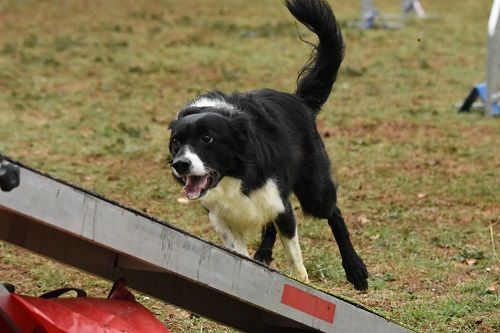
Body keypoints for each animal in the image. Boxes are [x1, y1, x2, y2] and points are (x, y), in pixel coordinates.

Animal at [168, 0, 368, 288]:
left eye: (207, 139)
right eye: (176, 143)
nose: (180, 165)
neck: (233, 175)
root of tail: (300, 101)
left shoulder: (280, 204)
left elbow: (296, 258)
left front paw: (303, 281)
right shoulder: (220, 216)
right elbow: (239, 251)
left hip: (314, 190)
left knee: (334, 213)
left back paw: (356, 270)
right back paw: (264, 253)